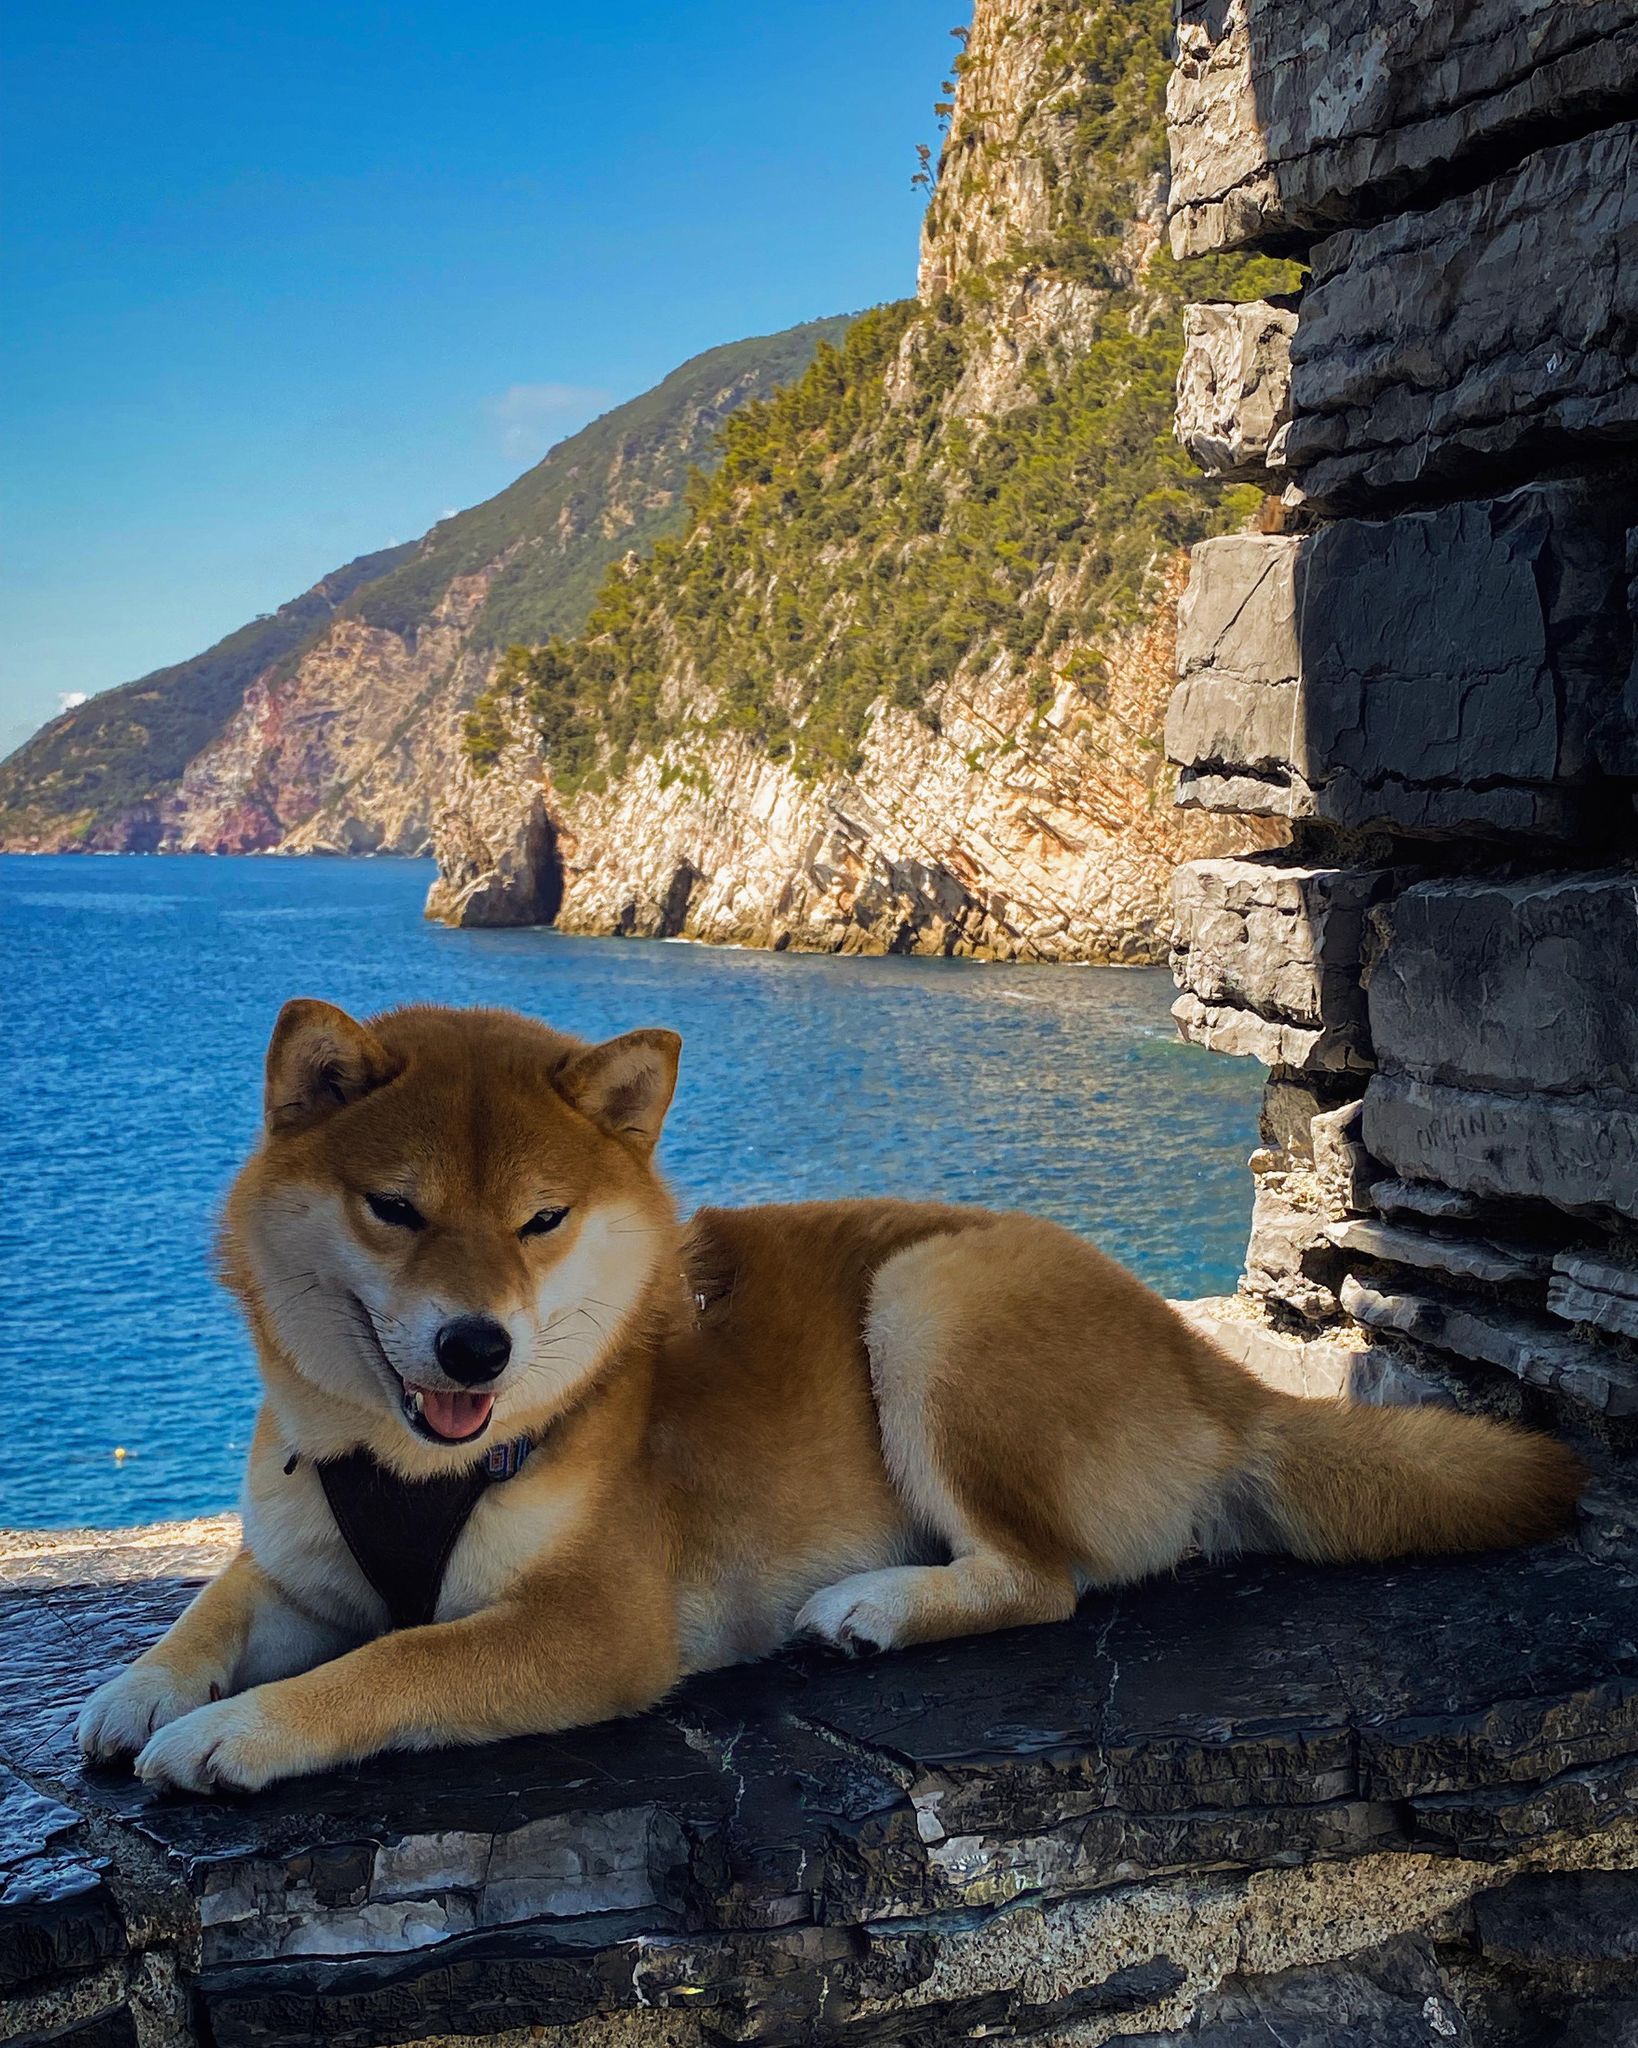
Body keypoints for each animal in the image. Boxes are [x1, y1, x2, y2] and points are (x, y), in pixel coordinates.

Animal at [79, 1003, 1588, 1794]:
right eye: (393, 1209)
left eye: (543, 1220)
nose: (474, 1349)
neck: (408, 1471)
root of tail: (1211, 1373)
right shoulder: (300, 1557)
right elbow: (215, 1605)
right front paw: (139, 1690)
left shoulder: (590, 1629)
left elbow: (389, 1664)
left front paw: (233, 1732)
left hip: (930, 1300)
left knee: (1041, 1580)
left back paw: (877, 1606)